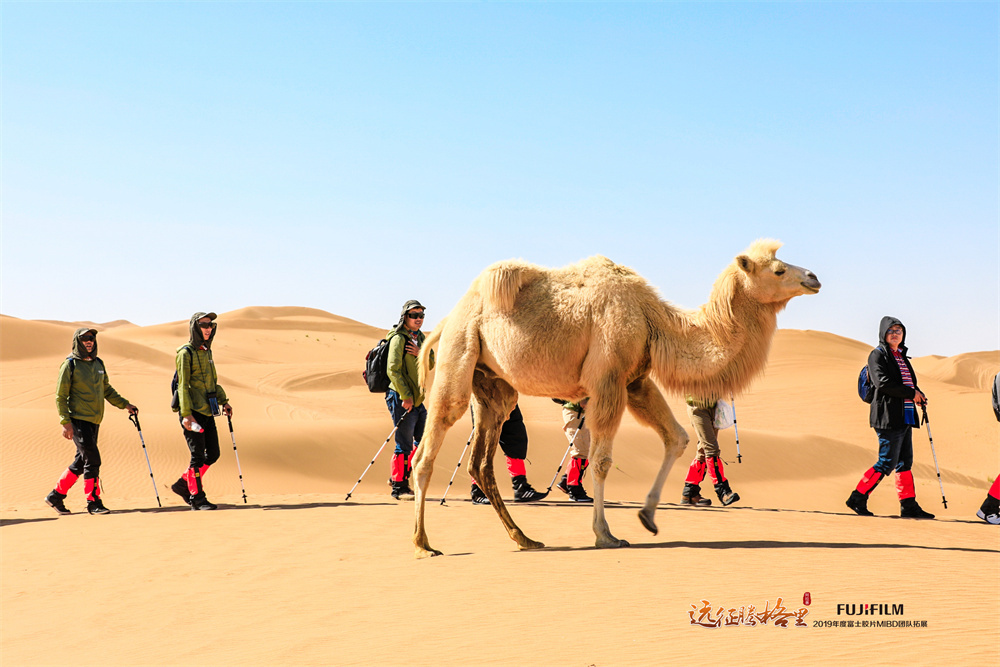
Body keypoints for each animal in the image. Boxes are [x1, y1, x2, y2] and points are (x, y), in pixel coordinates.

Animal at [410, 239, 820, 558]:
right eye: (778, 270)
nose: (813, 278)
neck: (653, 320)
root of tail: (446, 320)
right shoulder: (608, 380)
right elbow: (603, 460)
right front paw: (606, 535)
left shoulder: (635, 381)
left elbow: (677, 437)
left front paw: (648, 518)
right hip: (459, 353)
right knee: (428, 448)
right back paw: (423, 544)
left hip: (494, 387)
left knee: (481, 461)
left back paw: (524, 539)